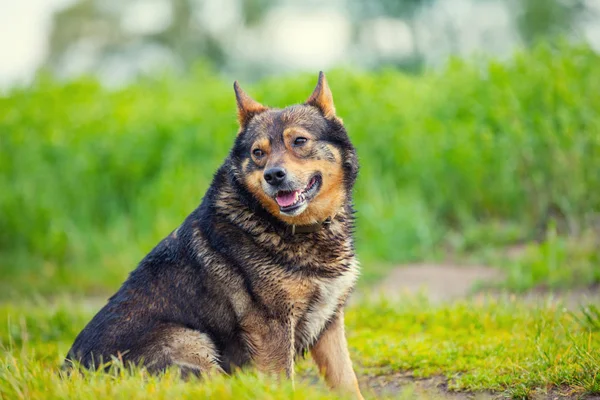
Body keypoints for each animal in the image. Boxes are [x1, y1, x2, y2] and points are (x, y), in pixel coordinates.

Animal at [68, 73, 364, 398]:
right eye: (257, 153)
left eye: (299, 141)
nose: (273, 176)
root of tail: (72, 375)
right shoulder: (272, 327)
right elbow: (284, 382)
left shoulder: (329, 322)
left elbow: (348, 382)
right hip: (193, 342)